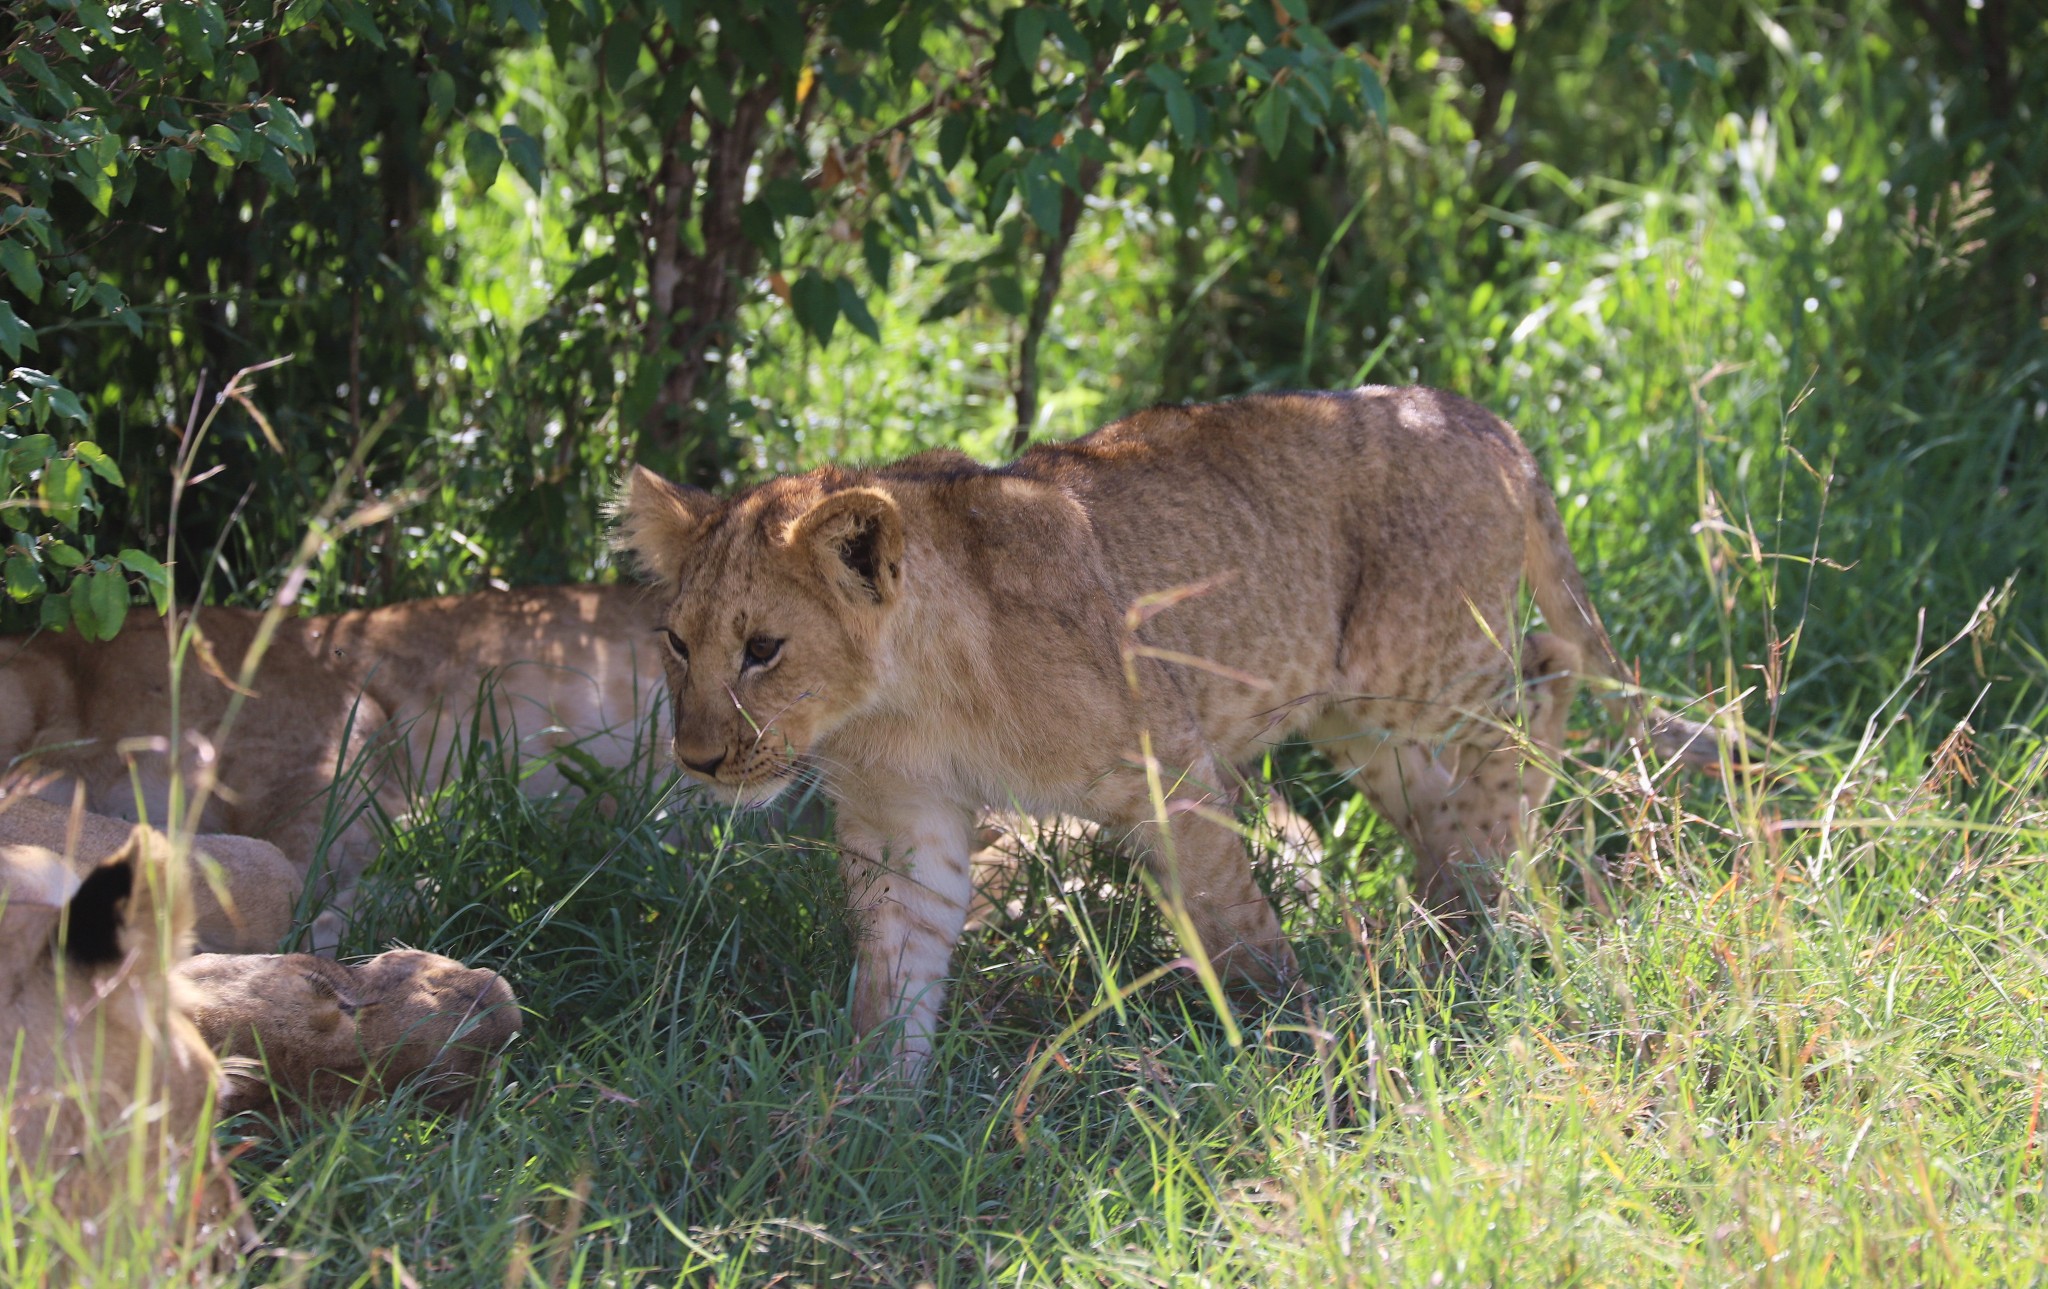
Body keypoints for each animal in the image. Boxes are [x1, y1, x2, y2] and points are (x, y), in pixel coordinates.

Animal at [614, 385, 1736, 1073]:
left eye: (763, 648)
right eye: (676, 641)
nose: (697, 759)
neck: (901, 700)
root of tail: (1484, 417)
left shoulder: (1170, 768)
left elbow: (1234, 924)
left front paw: (1289, 1038)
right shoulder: (903, 820)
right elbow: (894, 971)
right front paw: (865, 1115)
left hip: (1415, 660)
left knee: (1539, 680)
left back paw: (1489, 899)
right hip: (1357, 716)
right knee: (1447, 781)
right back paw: (1447, 916)